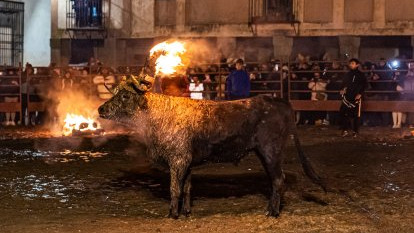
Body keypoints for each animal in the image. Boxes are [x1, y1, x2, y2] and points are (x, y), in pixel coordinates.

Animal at [98, 74, 326, 218]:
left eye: (125, 95)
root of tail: (279, 101)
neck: (157, 116)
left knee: (279, 180)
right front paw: (186, 212)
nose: (101, 109)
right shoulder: (187, 162)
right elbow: (187, 187)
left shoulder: (178, 159)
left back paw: (273, 212)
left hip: (271, 151)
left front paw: (172, 214)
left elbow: (174, 188)